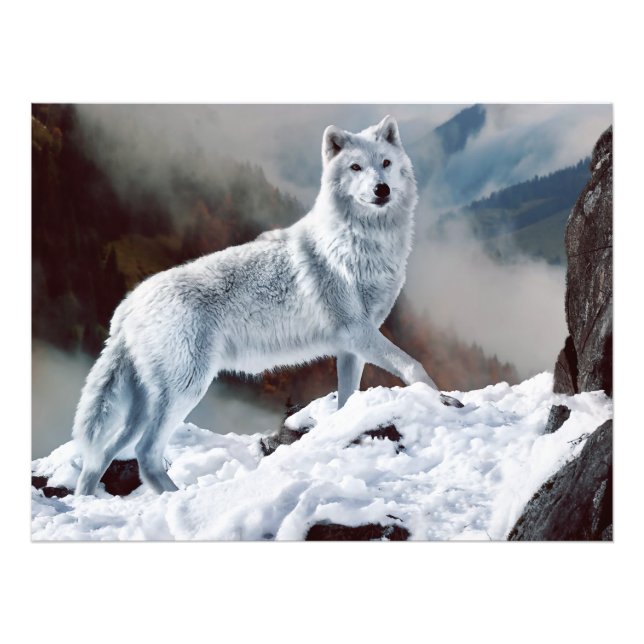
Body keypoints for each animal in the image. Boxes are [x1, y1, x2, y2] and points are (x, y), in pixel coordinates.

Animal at [72, 115, 463, 496]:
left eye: (385, 164)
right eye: (355, 167)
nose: (382, 189)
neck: (360, 245)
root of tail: (128, 304)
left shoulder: (351, 347)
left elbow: (347, 400)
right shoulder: (357, 331)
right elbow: (413, 366)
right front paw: (444, 400)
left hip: (145, 404)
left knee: (103, 453)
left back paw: (86, 501)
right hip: (187, 388)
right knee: (145, 453)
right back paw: (179, 498)